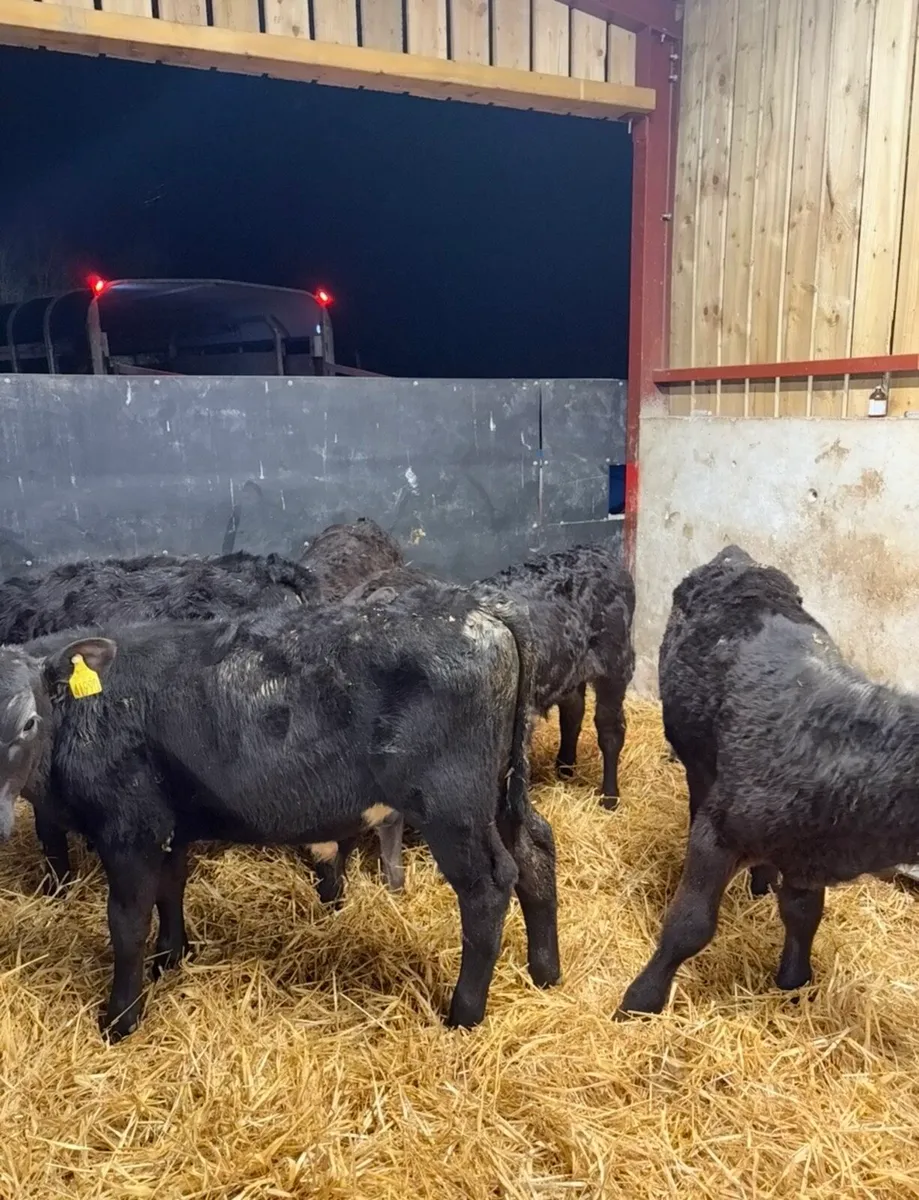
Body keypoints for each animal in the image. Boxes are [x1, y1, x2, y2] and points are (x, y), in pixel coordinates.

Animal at [0, 586, 560, 1041]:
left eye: (28, 722)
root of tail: (481, 607)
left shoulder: (129, 828)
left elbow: (126, 922)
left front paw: (120, 1018)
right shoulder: (170, 821)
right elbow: (171, 888)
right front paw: (171, 958)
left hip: (453, 803)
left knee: (489, 886)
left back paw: (463, 1014)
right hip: (500, 790)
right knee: (535, 849)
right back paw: (545, 973)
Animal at [619, 545, 918, 1020]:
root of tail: (737, 558)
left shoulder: (808, 855)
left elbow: (804, 913)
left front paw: (794, 982)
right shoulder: (718, 833)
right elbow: (690, 923)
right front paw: (641, 1000)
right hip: (697, 762)